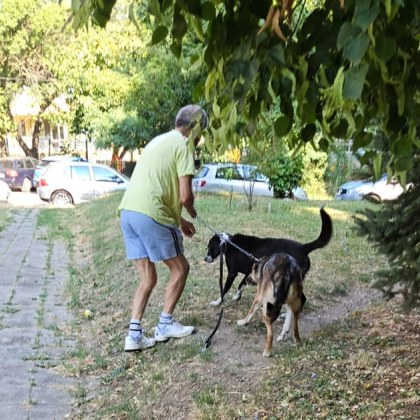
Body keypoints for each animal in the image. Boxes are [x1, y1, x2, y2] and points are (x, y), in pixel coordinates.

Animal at [205, 207, 334, 306]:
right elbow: (241, 284)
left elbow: (224, 290)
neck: (229, 243)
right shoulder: (249, 272)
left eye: (209, 247)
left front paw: (217, 302)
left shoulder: (232, 273)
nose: (205, 259)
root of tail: (303, 247)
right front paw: (237, 296)